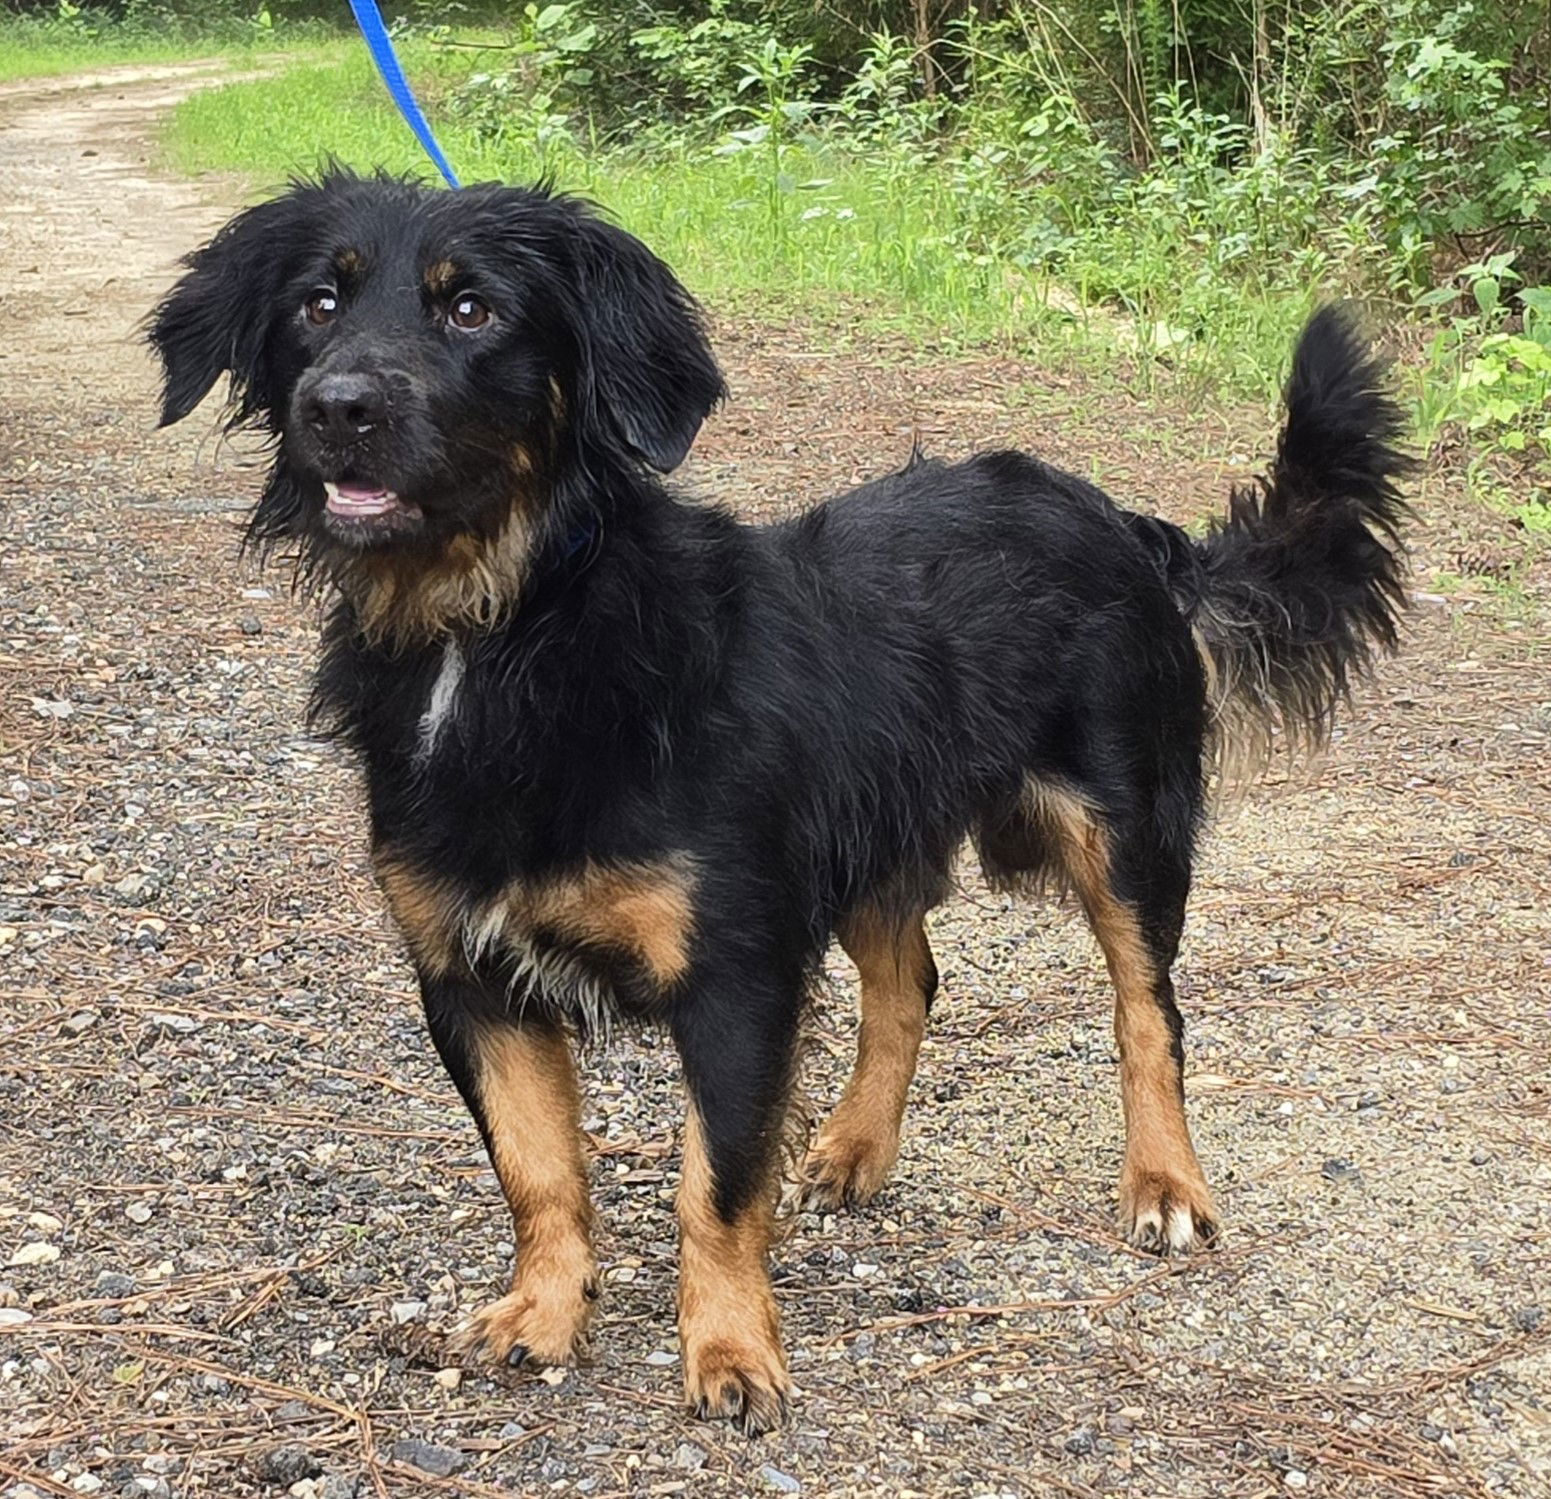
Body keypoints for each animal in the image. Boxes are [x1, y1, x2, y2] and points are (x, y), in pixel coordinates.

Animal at [151, 169, 1414, 1440]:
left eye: (473, 310)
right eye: (317, 304)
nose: (339, 406)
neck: (508, 629)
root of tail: (1129, 523)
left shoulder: (735, 973)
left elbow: (711, 1183)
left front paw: (729, 1350)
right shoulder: (469, 977)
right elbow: (538, 1169)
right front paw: (545, 1311)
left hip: (1124, 834)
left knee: (1147, 1014)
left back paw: (1163, 1181)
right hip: (868, 842)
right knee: (910, 985)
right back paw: (857, 1144)